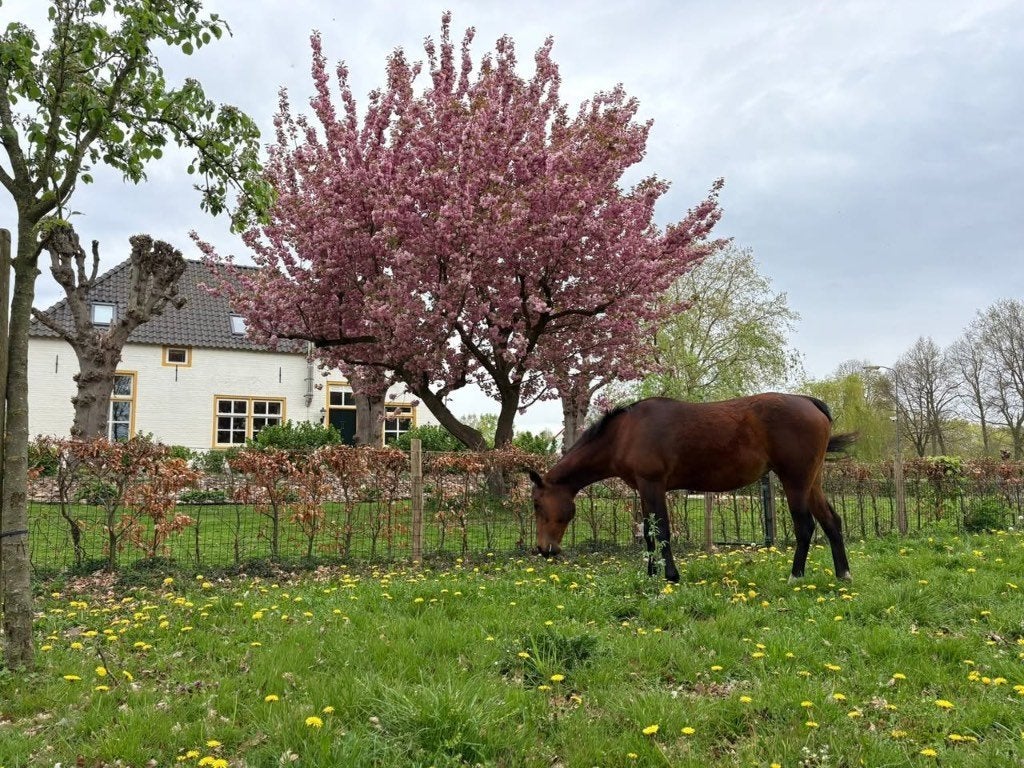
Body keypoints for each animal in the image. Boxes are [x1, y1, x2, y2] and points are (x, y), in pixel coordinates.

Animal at [528, 393, 857, 583]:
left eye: (536, 504)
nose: (544, 550)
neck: (624, 433)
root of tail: (810, 403)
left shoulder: (653, 485)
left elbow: (661, 531)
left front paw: (671, 576)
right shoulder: (643, 490)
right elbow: (649, 534)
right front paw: (651, 574)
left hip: (795, 481)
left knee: (805, 527)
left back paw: (795, 577)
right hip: (812, 482)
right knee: (832, 521)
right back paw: (843, 575)